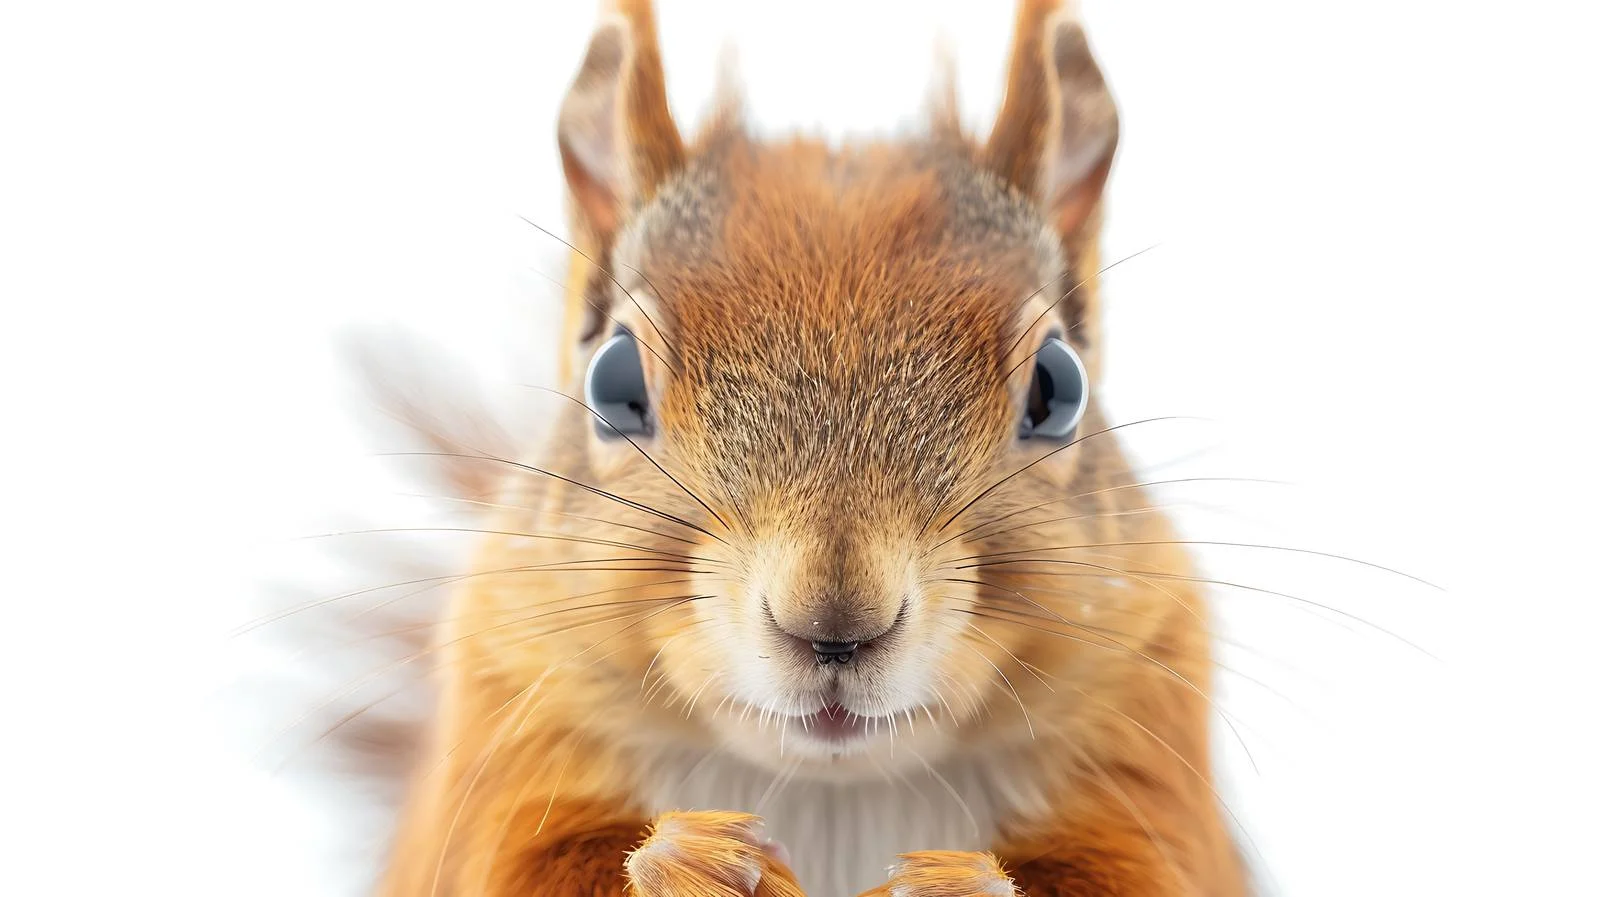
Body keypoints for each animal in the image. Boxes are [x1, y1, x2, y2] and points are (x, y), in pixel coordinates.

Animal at [368, 1, 1249, 895]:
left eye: (1059, 386)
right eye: (613, 379)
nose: (835, 625)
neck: (829, 789)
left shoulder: (1151, 754)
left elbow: (1151, 870)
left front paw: (952, 881)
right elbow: (510, 863)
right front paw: (689, 861)